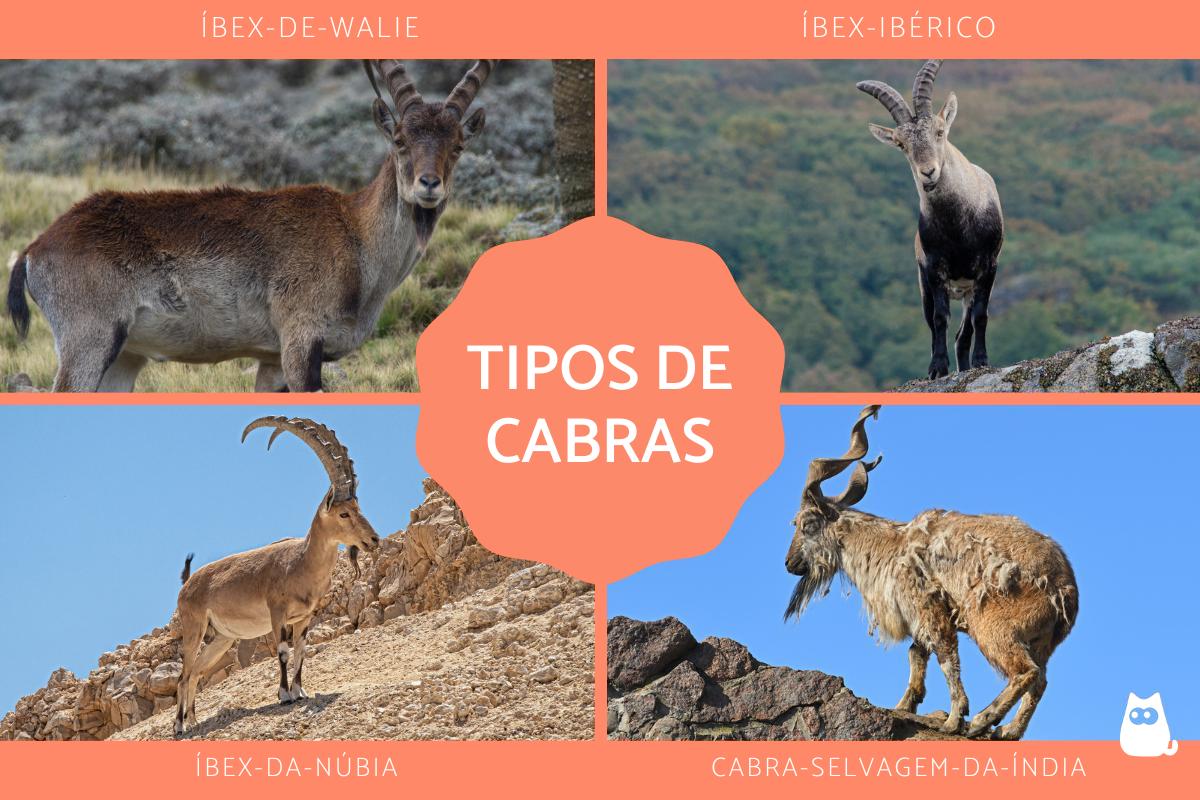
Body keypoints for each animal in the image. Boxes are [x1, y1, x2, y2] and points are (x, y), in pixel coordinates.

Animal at [6, 60, 497, 392]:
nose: (428, 185)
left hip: (124, 358)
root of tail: (36, 249)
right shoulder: (301, 342)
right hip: (89, 342)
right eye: (399, 140)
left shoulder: (272, 360)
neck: (355, 236)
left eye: (458, 145)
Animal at [173, 416, 380, 737]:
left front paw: (301, 691)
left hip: (222, 638)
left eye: (358, 508)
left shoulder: (304, 618)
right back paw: (180, 725)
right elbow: (283, 652)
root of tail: (187, 585)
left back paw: (194, 721)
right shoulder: (277, 613)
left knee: (195, 672)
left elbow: (301, 651)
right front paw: (284, 695)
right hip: (194, 626)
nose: (373, 540)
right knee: (183, 675)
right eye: (344, 514)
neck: (300, 565)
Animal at [784, 405, 1077, 740]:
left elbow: (946, 657)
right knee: (1040, 681)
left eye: (807, 524)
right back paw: (1008, 731)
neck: (891, 547)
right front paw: (906, 704)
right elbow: (916, 653)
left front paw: (954, 718)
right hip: (1042, 643)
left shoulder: (930, 607)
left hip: (993, 627)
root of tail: (1065, 591)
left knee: (1024, 672)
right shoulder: (919, 619)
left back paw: (982, 720)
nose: (790, 563)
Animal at [858, 60, 1004, 379]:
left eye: (939, 132)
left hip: (968, 287)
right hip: (927, 284)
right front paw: (937, 368)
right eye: (901, 144)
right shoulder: (934, 269)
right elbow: (939, 319)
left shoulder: (988, 266)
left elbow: (981, 316)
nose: (928, 173)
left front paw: (982, 362)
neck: (957, 224)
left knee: (964, 334)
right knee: (943, 327)